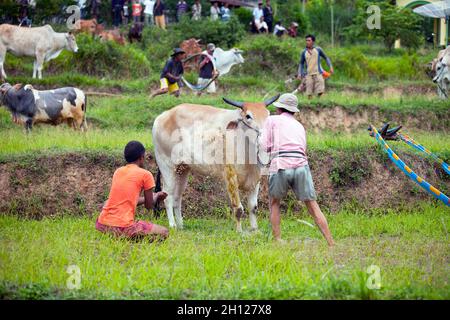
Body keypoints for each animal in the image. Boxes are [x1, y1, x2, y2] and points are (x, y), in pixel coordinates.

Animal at [153, 94, 280, 231]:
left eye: (267, 114)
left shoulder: (255, 180)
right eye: (248, 116)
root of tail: (163, 116)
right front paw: (240, 231)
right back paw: (173, 225)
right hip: (166, 167)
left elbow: (253, 208)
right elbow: (238, 209)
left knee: (177, 198)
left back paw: (181, 225)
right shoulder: (230, 177)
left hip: (182, 170)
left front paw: (255, 230)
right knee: (168, 197)